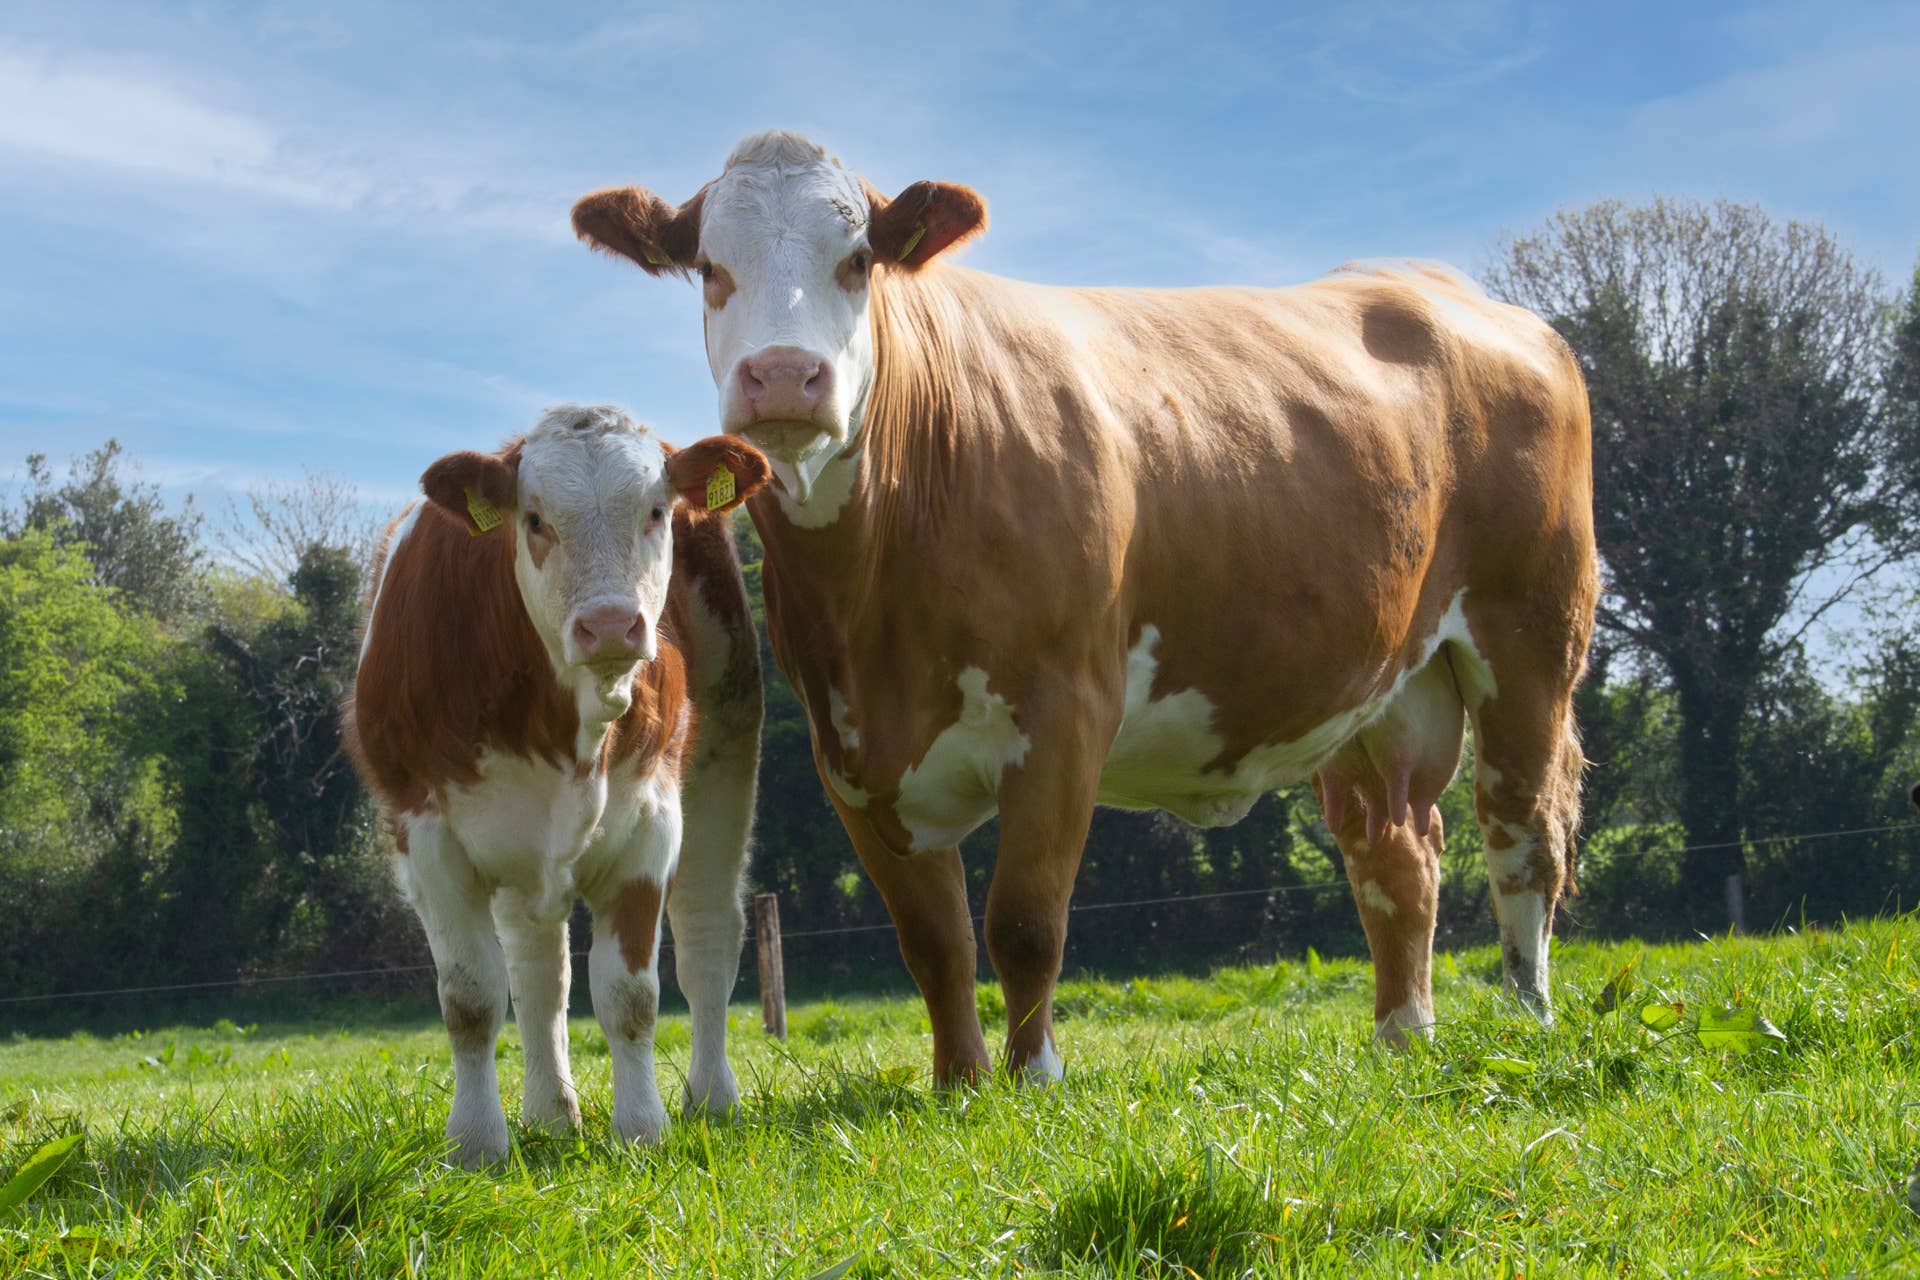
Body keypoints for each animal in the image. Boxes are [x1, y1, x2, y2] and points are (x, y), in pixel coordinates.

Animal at [346, 404, 768, 1164]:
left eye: (656, 510)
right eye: (535, 518)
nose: (611, 625)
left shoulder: (650, 824)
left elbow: (630, 994)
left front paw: (642, 1128)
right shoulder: (427, 835)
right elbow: (473, 998)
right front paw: (477, 1142)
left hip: (726, 754)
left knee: (707, 937)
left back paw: (711, 1100)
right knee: (538, 974)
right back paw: (550, 1112)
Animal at [571, 132, 1598, 1085]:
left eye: (858, 259)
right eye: (711, 266)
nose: (784, 375)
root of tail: (1443, 285)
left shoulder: (1065, 709)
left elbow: (1023, 921)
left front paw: (1033, 1076)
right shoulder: (848, 752)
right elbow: (934, 940)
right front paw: (959, 1082)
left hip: (1530, 636)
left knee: (1522, 830)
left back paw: (1529, 1022)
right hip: (1375, 685)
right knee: (1397, 854)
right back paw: (1402, 1033)